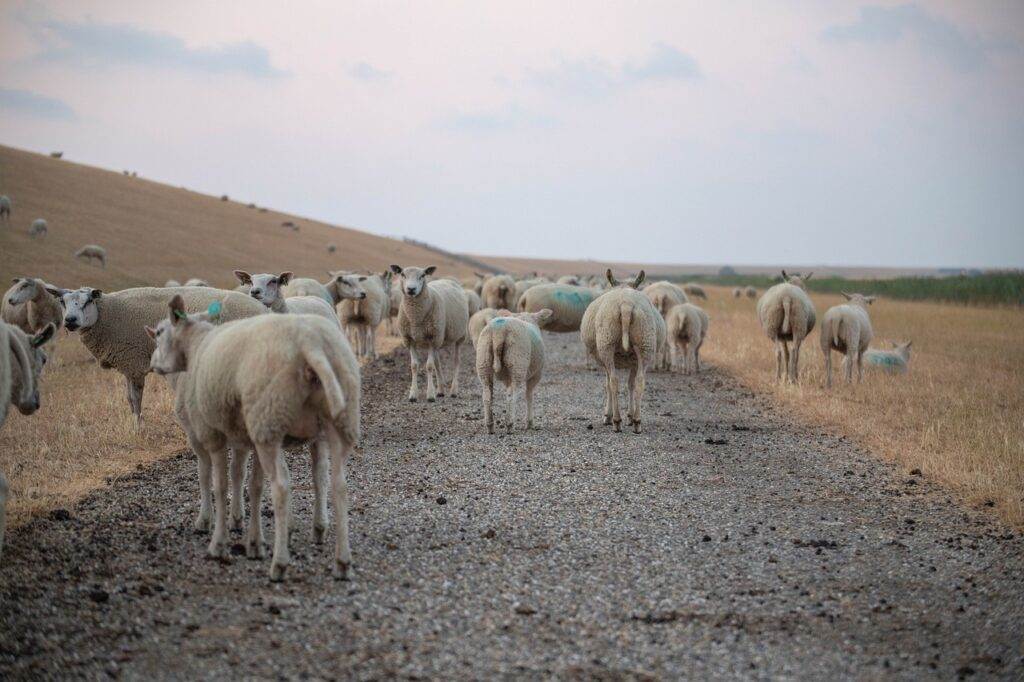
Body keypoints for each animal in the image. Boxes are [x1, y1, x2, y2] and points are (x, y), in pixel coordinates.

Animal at [58, 284, 268, 421]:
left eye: (87, 301)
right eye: (62, 302)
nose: (70, 320)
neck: (107, 314)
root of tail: (263, 310)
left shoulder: (134, 362)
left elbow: (136, 399)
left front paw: (138, 427)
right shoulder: (128, 365)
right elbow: (129, 398)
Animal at [147, 294, 360, 577]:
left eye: (160, 332)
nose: (152, 364)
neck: (196, 347)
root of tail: (310, 342)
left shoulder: (208, 434)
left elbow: (216, 483)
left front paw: (217, 540)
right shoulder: (249, 436)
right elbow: (254, 486)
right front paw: (254, 542)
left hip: (269, 417)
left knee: (281, 487)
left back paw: (279, 564)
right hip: (326, 422)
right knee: (338, 484)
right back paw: (341, 560)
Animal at [391, 262, 471, 401]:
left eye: (422, 275)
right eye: (402, 274)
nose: (411, 289)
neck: (415, 318)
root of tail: (448, 280)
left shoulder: (432, 338)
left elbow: (429, 366)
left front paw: (430, 395)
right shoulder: (409, 339)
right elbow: (414, 366)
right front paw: (413, 394)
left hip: (458, 337)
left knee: (456, 361)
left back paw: (453, 390)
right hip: (438, 339)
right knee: (437, 363)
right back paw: (440, 390)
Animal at [581, 270, 667, 432]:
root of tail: (626, 305)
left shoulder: (604, 360)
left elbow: (608, 384)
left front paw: (608, 416)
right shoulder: (634, 361)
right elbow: (631, 385)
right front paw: (630, 417)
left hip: (606, 343)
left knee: (614, 382)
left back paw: (616, 421)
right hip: (645, 342)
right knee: (640, 381)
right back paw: (637, 422)